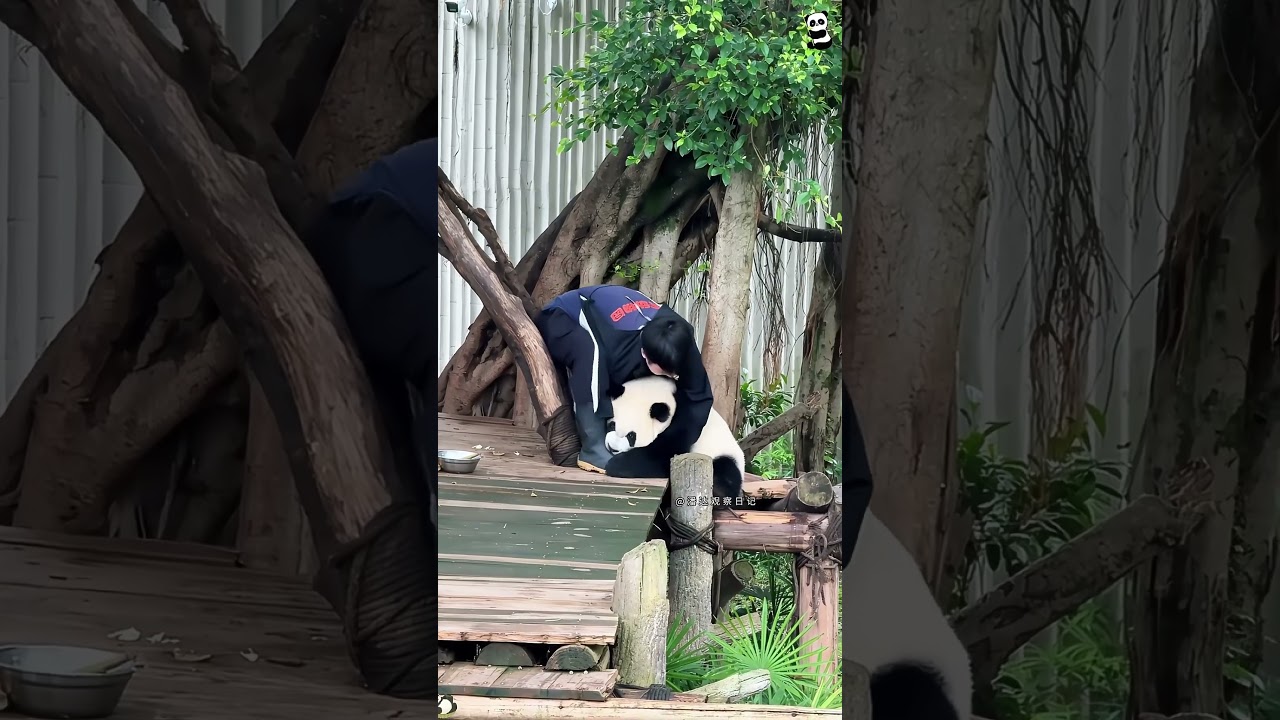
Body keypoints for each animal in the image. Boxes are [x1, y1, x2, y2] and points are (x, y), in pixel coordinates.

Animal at [601, 375, 744, 502]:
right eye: (612, 425)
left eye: (631, 436)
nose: (612, 448)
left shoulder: (686, 423)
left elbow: (661, 457)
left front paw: (616, 464)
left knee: (725, 471)